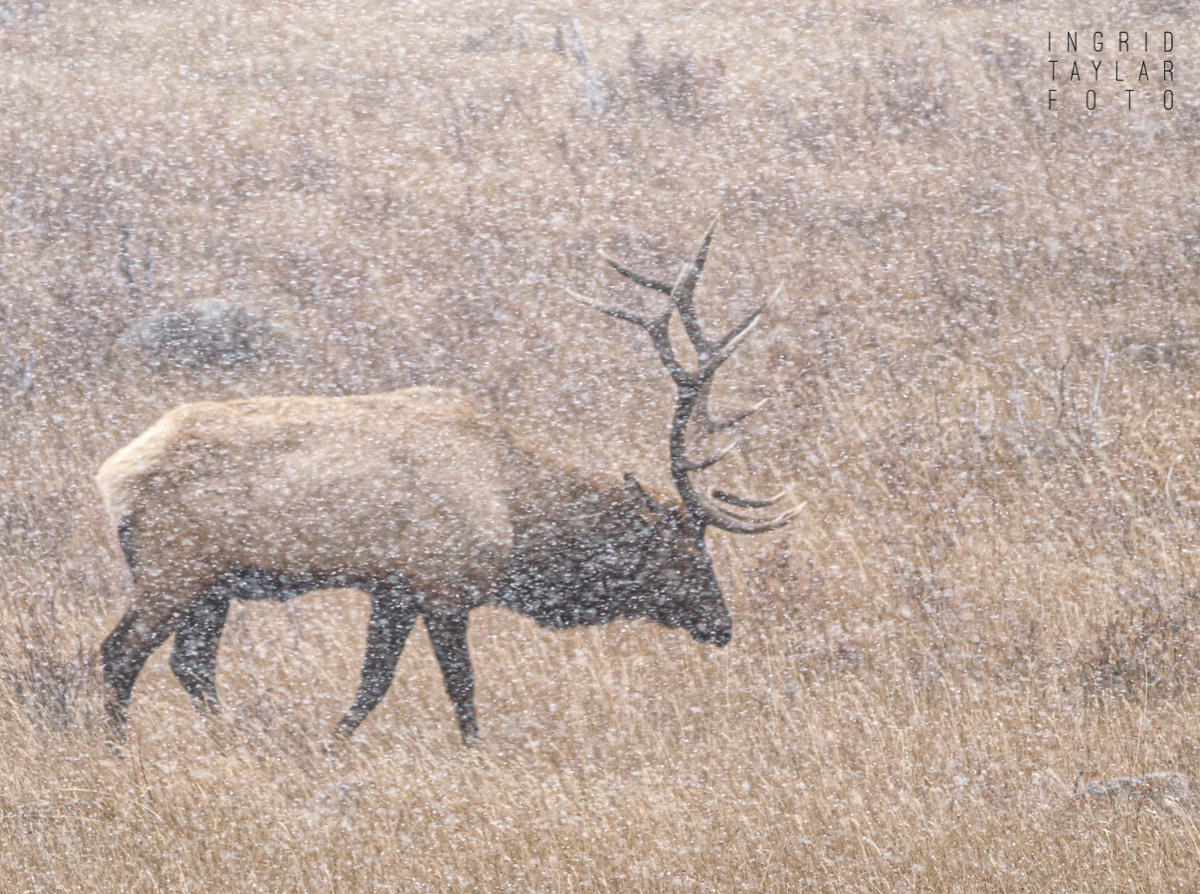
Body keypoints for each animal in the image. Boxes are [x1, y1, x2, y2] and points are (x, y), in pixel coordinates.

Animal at [98, 222, 792, 739]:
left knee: (191, 665)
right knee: (120, 654)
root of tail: (113, 475)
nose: (722, 625)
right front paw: (465, 751)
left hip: (213, 587)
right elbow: (457, 686)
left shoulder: (393, 589)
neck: (515, 513)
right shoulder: (443, 586)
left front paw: (328, 743)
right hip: (173, 571)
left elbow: (372, 681)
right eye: (687, 553)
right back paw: (121, 749)